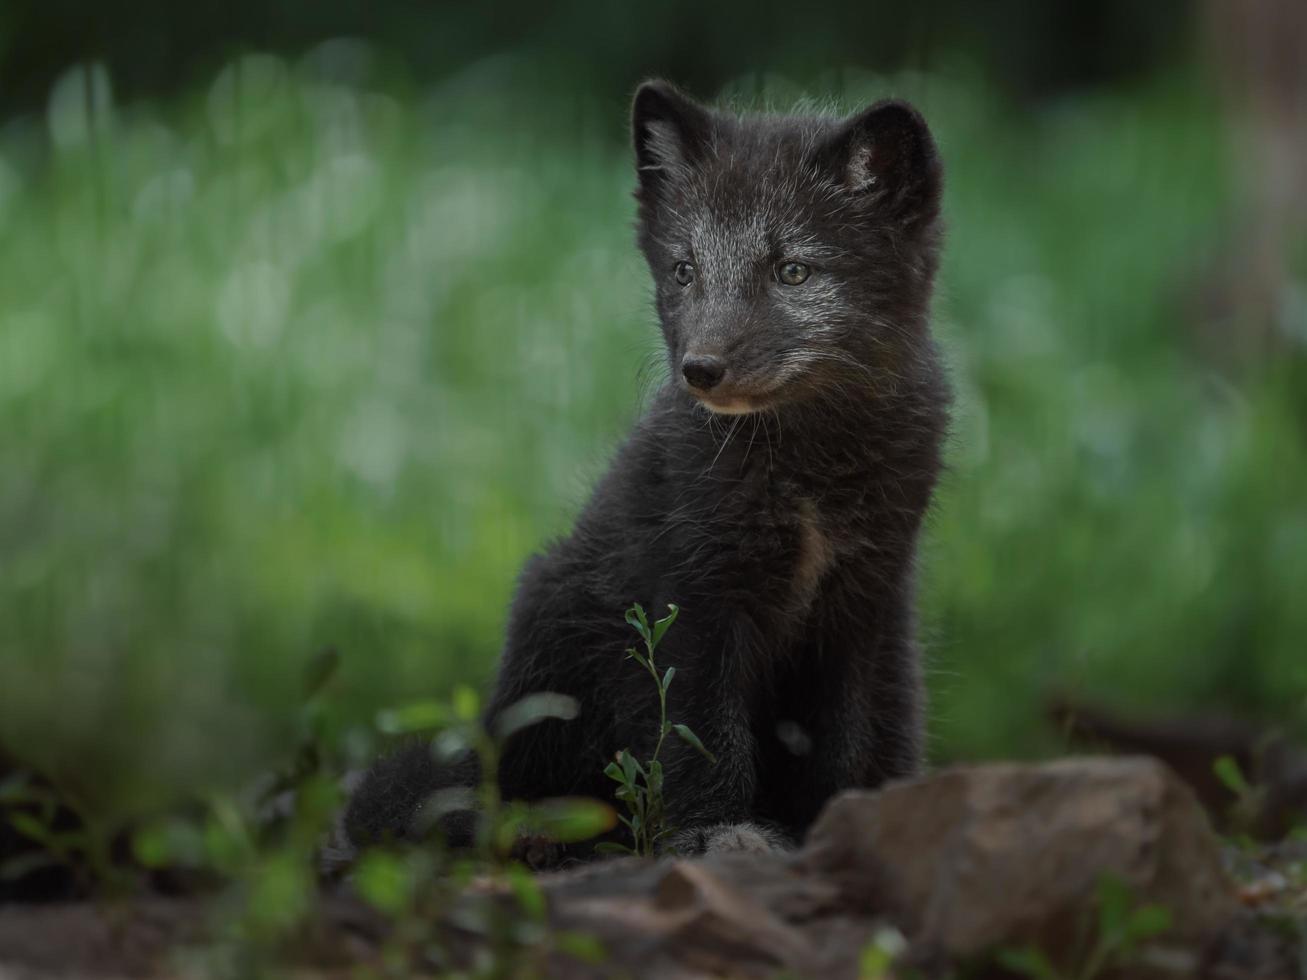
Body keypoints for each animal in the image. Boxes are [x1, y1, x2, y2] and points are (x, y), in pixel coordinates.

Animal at [342, 78, 946, 857]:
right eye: (684, 270)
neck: (805, 471)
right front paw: (720, 833)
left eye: (793, 271)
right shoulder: (689, 595)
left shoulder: (860, 604)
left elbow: (840, 743)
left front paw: (832, 824)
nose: (700, 370)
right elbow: (701, 736)